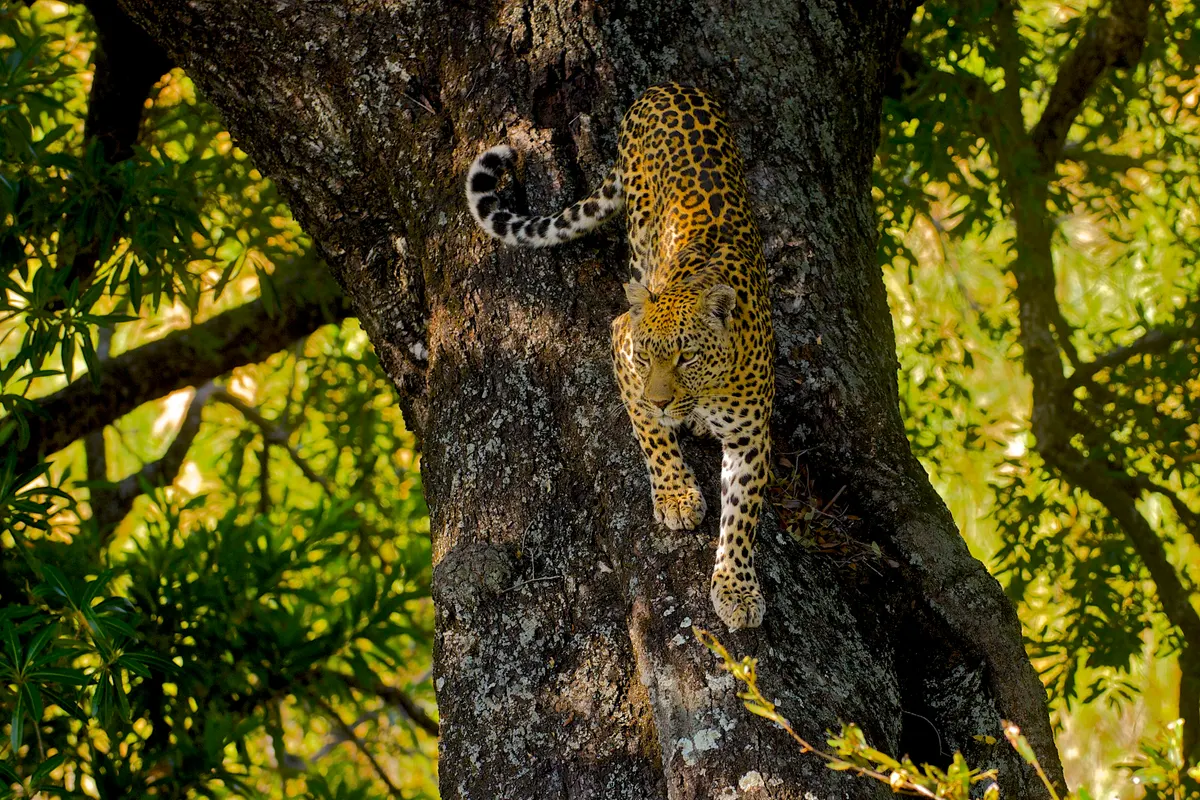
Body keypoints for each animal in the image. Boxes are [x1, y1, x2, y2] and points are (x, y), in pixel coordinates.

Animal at [465, 83, 774, 630]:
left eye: (687, 357)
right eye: (647, 357)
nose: (662, 400)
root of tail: (665, 87)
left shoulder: (750, 436)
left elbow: (741, 518)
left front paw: (736, 588)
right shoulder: (622, 343)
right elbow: (649, 433)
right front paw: (675, 494)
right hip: (639, 231)